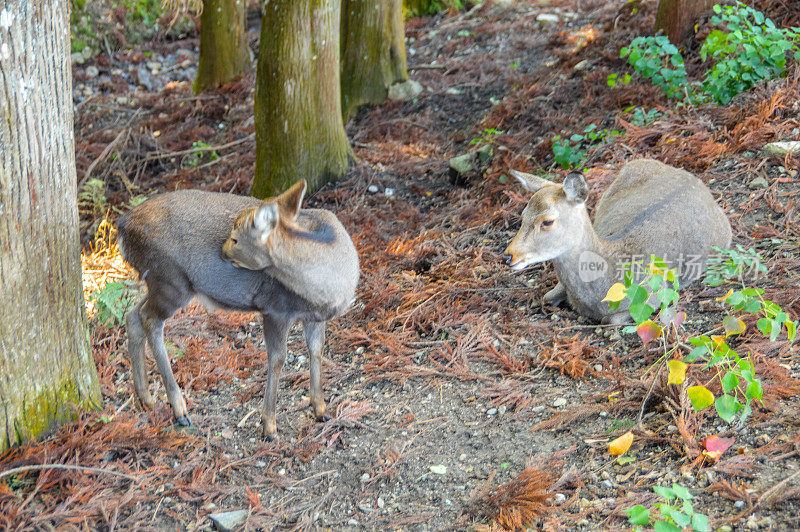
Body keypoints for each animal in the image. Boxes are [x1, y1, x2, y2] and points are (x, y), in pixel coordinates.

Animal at [117, 181, 358, 438]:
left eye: (234, 239)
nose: (221, 253)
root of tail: (122, 226)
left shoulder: (315, 317)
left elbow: (317, 350)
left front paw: (320, 409)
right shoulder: (274, 307)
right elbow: (277, 359)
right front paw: (269, 426)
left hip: (160, 282)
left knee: (133, 315)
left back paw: (146, 398)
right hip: (169, 279)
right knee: (149, 319)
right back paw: (179, 409)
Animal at [506, 158, 732, 322]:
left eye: (547, 221)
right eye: (523, 215)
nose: (509, 256)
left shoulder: (651, 297)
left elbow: (610, 320)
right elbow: (545, 297)